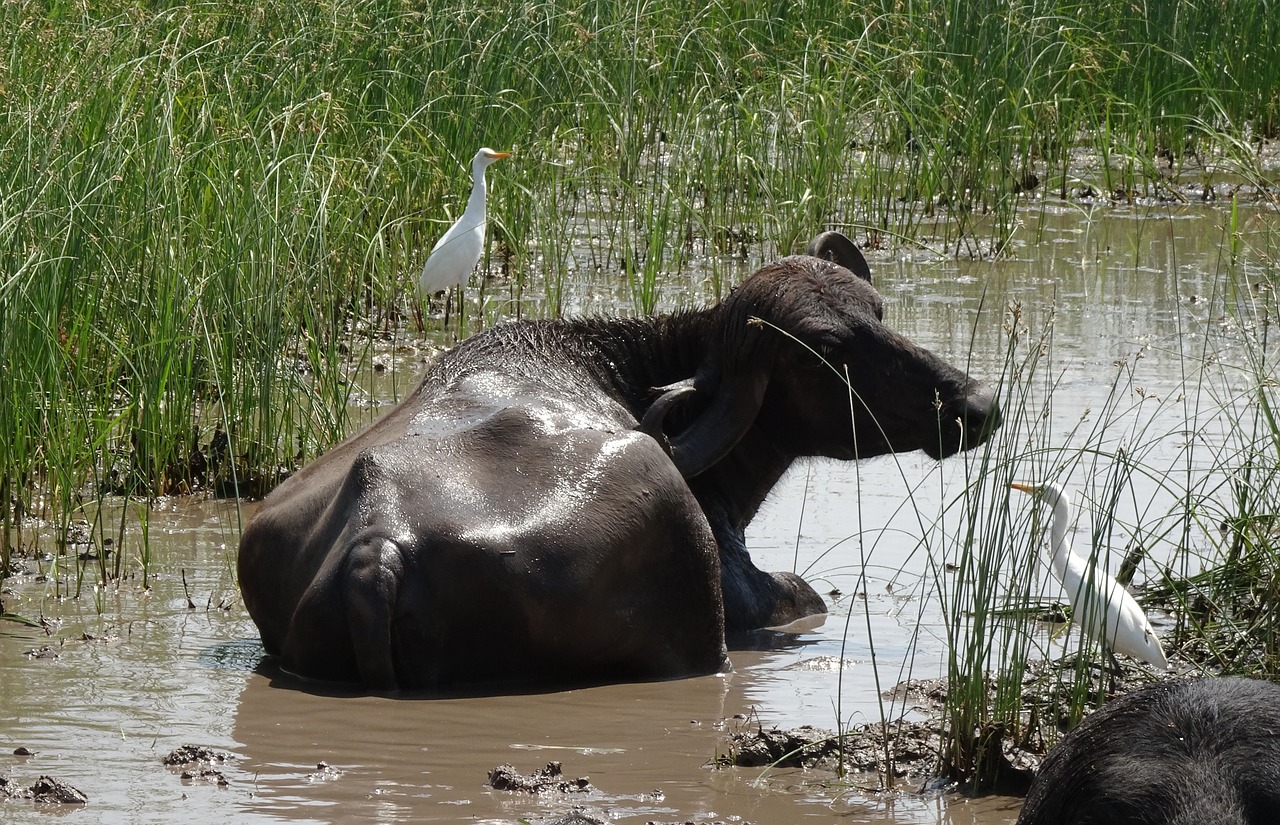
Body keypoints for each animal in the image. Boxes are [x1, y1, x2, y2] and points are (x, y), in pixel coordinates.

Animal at [238, 231, 998, 690]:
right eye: (825, 352)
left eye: (879, 312)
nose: (978, 399)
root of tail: (380, 538)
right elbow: (801, 593)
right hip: (691, 607)